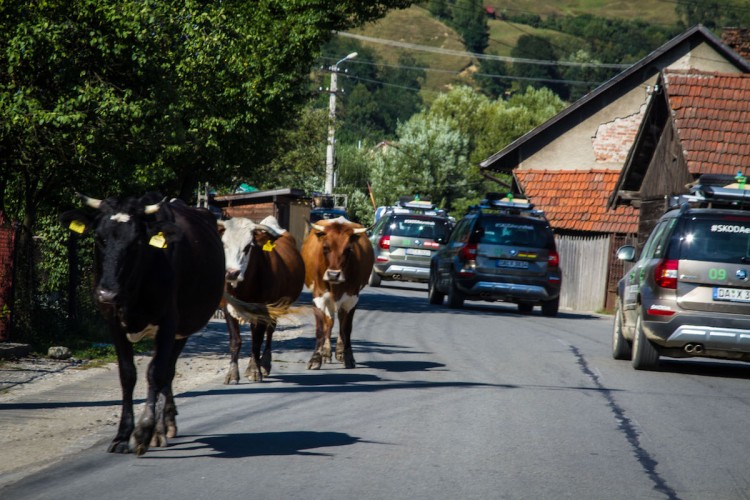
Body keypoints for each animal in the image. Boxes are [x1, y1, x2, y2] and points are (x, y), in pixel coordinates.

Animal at [61, 192, 226, 458]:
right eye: (99, 237)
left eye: (137, 242)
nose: (107, 293)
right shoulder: (114, 324)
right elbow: (128, 375)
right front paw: (121, 435)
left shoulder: (169, 324)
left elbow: (155, 373)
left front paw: (143, 432)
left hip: (183, 330)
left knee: (166, 372)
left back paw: (160, 428)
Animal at [217, 215, 306, 382]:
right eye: (224, 244)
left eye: (247, 247)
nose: (231, 273)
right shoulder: (227, 308)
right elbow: (235, 341)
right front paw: (232, 374)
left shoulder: (264, 309)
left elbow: (257, 340)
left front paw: (255, 371)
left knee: (269, 332)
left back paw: (264, 364)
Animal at [296, 217, 374, 370]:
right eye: (325, 248)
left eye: (348, 249)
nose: (333, 275)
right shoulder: (319, 298)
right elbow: (321, 329)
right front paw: (315, 359)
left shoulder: (351, 299)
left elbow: (346, 329)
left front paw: (348, 357)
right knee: (330, 321)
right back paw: (326, 353)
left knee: (340, 321)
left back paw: (339, 352)